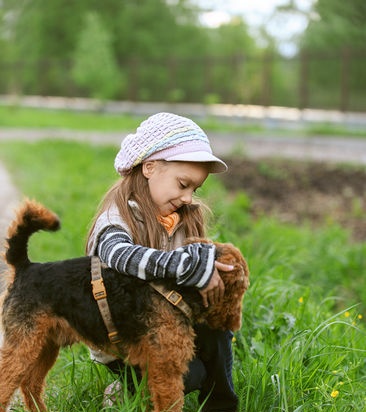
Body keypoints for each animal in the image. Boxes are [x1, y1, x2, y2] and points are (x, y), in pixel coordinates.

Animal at [0, 200, 249, 412]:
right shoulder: (167, 368)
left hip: (44, 345)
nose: (234, 323)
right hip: (23, 344)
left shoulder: (153, 368)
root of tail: (24, 267)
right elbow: (170, 403)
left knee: (30, 385)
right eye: (243, 286)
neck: (174, 289)